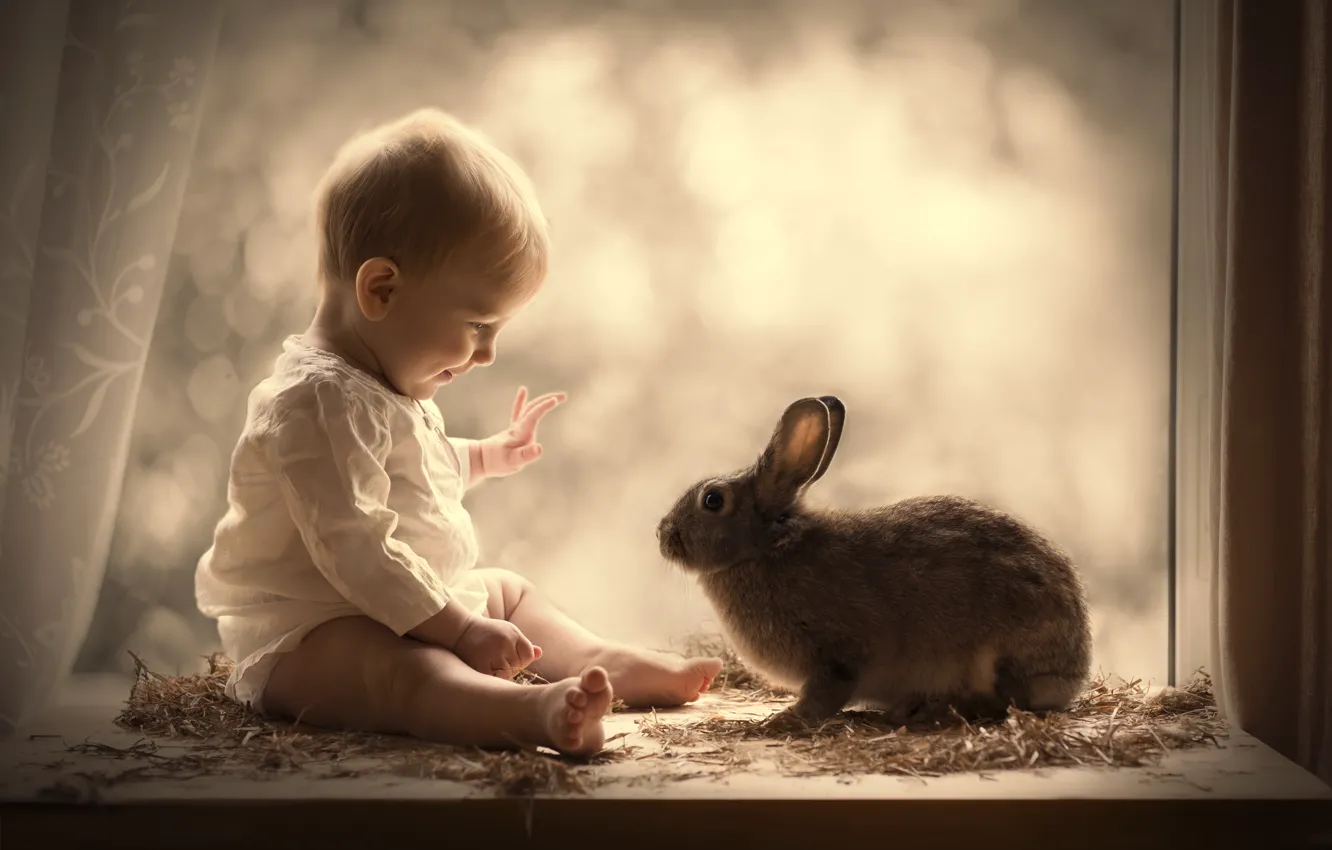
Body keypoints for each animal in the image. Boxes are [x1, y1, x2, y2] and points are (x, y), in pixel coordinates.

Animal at [656, 395, 1093, 727]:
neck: (767, 547)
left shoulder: (837, 655)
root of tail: (1074, 672)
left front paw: (782, 720)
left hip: (999, 653)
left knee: (1004, 702)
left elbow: (825, 693)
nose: (662, 534)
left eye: (713, 500)